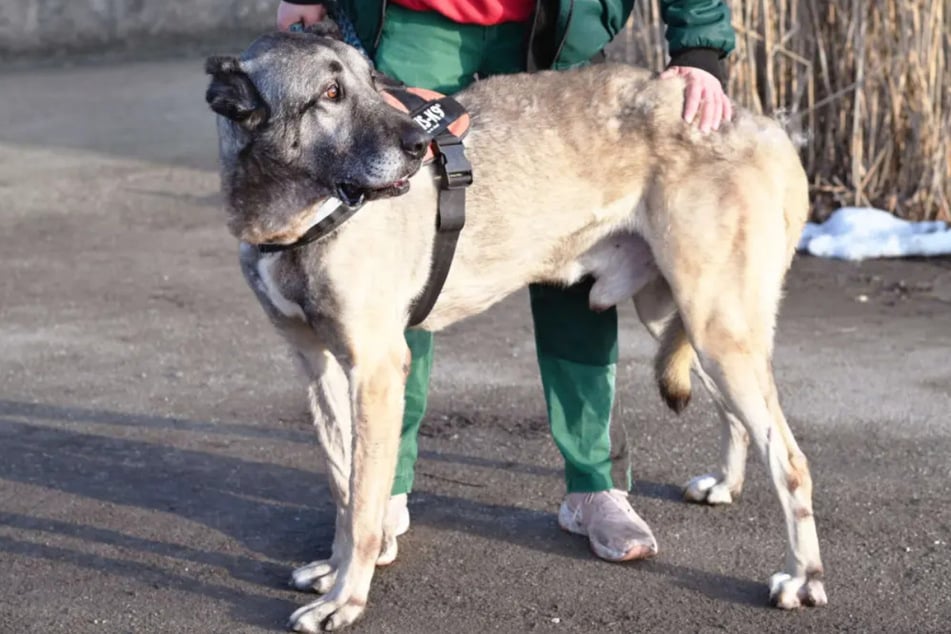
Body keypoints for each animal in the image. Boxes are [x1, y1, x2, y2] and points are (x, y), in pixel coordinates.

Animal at [206, 27, 824, 628]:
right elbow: (343, 487)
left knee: (791, 461)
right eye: (330, 94)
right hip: (683, 320)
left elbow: (361, 507)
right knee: (740, 419)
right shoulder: (321, 369)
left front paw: (346, 600)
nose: (417, 147)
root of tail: (765, 128)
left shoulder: (376, 372)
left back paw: (803, 578)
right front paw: (336, 571)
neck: (297, 212)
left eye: (372, 81)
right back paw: (726, 484)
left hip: (716, 324)